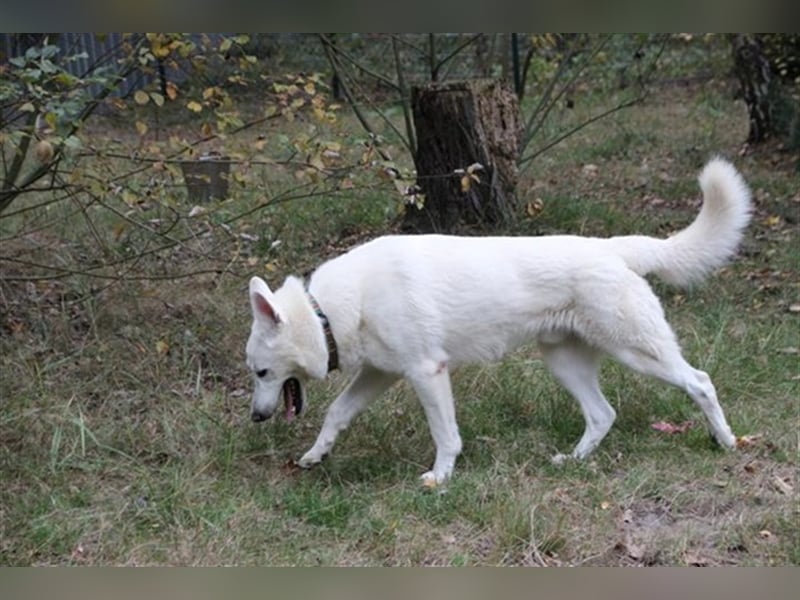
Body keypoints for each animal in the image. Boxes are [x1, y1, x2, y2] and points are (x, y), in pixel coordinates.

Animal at [244, 157, 752, 486]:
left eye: (262, 372)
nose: (256, 417)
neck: (330, 310)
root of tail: (612, 247)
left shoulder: (427, 374)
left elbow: (446, 436)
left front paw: (440, 479)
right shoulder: (380, 374)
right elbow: (336, 413)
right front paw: (315, 455)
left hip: (639, 353)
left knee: (700, 382)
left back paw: (726, 441)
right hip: (565, 364)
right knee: (603, 414)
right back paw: (572, 461)